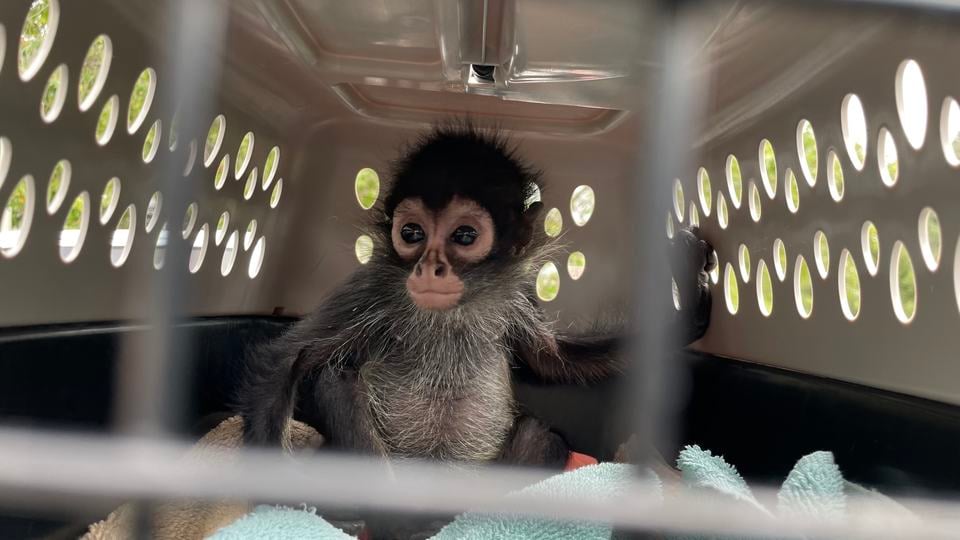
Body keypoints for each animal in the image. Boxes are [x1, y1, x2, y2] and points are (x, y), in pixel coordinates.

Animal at [236, 124, 714, 537]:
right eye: (412, 233)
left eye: (464, 236)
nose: (429, 268)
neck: (455, 312)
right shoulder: (374, 284)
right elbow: (286, 359)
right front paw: (282, 502)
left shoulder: (518, 295)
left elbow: (553, 360)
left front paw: (688, 308)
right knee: (337, 378)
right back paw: (394, 522)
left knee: (541, 435)